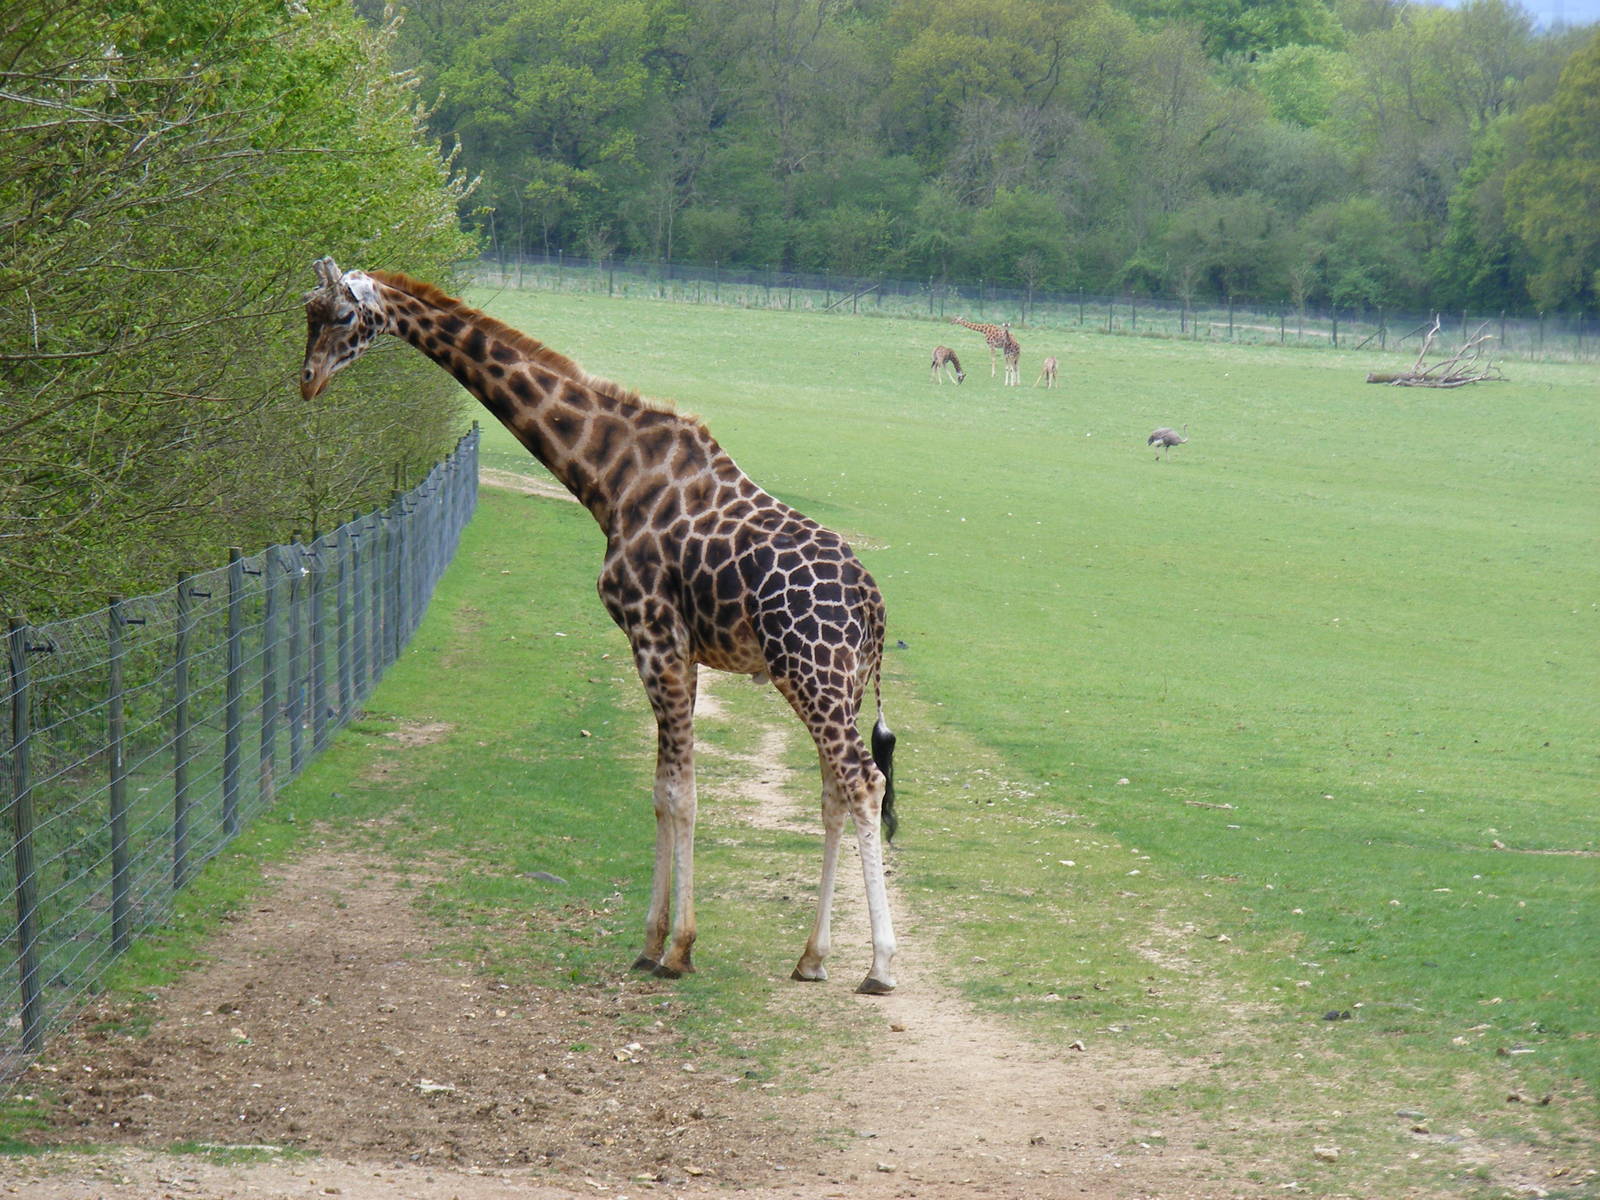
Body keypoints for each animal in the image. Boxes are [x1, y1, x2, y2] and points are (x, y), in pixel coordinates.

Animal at [299, 259, 899, 994]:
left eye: (342, 316)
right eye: (306, 312)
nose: (308, 380)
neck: (610, 477)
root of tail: (873, 607)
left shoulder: (654, 634)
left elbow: (678, 791)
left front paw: (676, 948)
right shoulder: (680, 650)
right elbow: (664, 790)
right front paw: (654, 941)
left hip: (810, 671)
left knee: (864, 782)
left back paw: (880, 966)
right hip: (832, 682)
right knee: (834, 791)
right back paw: (812, 957)